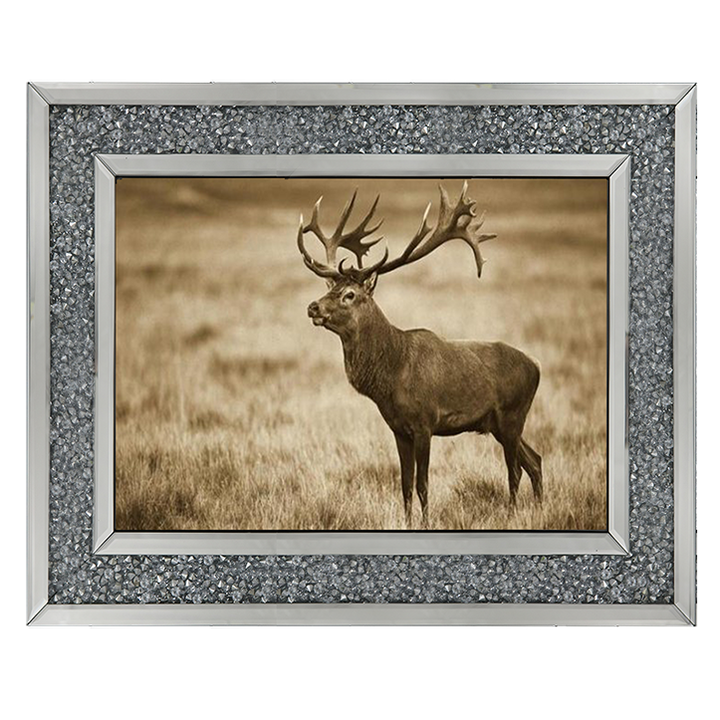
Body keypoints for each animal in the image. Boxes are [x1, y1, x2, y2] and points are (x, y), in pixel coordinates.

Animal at [297, 182, 543, 528]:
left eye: (350, 294)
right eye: (329, 288)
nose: (313, 307)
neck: (390, 376)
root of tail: (536, 366)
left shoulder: (425, 422)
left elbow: (424, 484)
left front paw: (426, 524)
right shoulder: (398, 429)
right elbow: (405, 484)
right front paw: (407, 522)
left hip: (512, 415)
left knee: (515, 470)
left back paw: (511, 515)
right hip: (499, 423)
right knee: (535, 460)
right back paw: (540, 509)